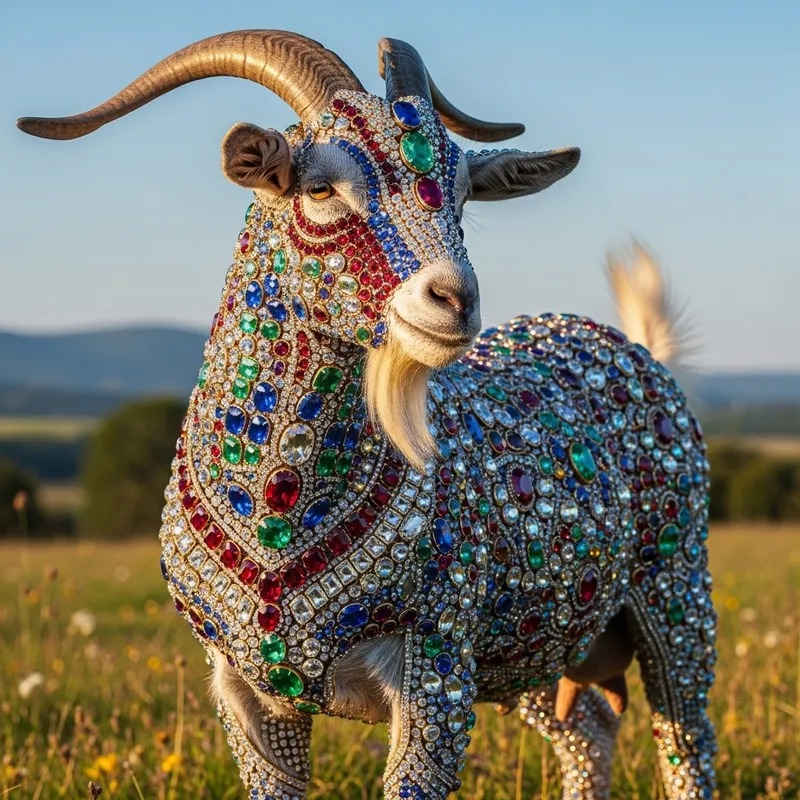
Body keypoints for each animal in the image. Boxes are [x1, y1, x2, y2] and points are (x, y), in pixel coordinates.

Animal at [18, 31, 716, 800]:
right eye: (319, 187)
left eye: (464, 196)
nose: (454, 300)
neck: (280, 517)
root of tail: (633, 346)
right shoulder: (245, 694)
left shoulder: (438, 668)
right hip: (541, 633)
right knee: (587, 728)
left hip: (676, 587)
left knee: (686, 737)